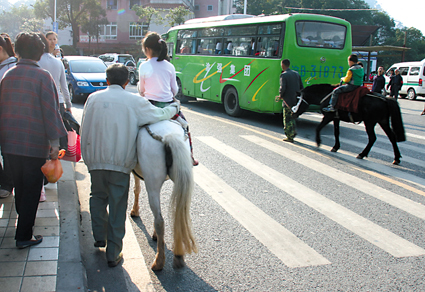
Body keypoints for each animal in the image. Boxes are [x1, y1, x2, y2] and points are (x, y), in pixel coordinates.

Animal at [131, 120, 197, 270]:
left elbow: (136, 189)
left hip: (152, 183)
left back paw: (159, 262)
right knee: (179, 212)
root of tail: (169, 136)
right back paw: (178, 256)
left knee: (160, 221)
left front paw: (134, 211)